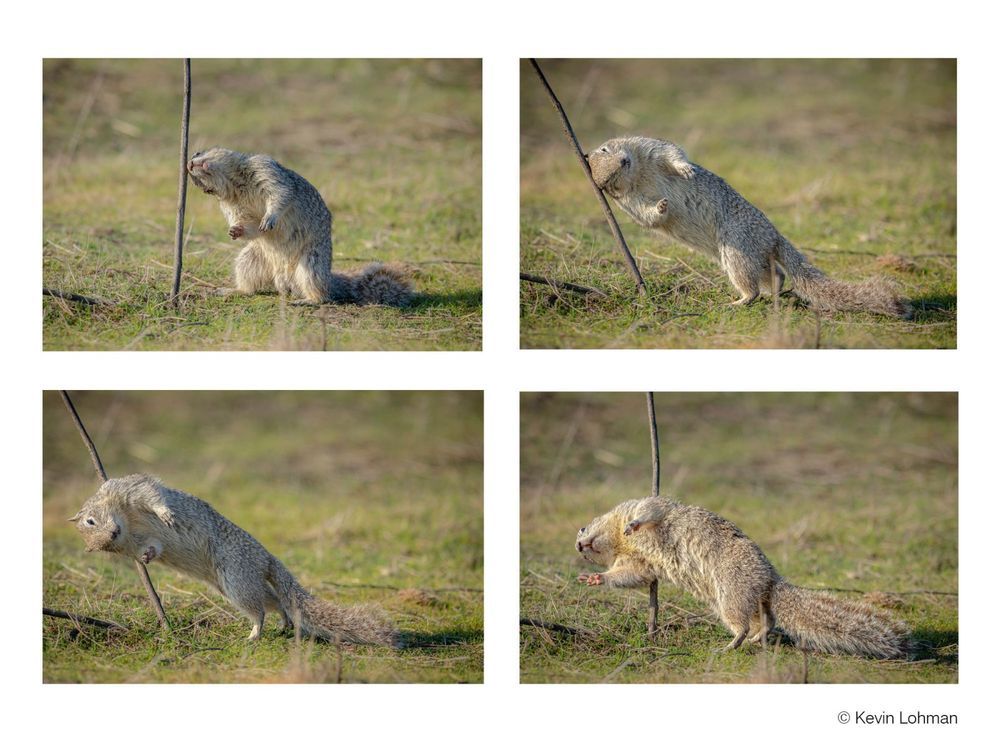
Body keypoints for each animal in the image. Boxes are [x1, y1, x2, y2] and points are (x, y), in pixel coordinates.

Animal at [73, 476, 398, 648]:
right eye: (103, 547)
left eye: (91, 521)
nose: (112, 534)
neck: (129, 523)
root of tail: (266, 558)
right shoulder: (142, 540)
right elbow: (153, 546)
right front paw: (145, 558)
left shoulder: (131, 488)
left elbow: (152, 496)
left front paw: (166, 514)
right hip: (237, 585)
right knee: (273, 602)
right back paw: (282, 622)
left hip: (237, 578)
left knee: (260, 611)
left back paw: (255, 634)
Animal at [189, 147, 412, 306]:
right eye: (204, 189)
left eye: (199, 153)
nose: (189, 164)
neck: (236, 186)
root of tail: (284, 280)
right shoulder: (231, 206)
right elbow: (247, 221)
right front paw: (235, 230)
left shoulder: (263, 167)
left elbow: (280, 192)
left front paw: (269, 218)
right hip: (250, 259)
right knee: (250, 286)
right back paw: (232, 290)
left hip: (312, 262)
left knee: (322, 295)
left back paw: (307, 300)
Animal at [576, 500, 912, 656]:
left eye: (582, 528)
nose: (580, 546)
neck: (622, 544)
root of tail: (770, 580)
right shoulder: (637, 562)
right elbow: (633, 575)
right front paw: (596, 579)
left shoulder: (644, 506)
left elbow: (649, 510)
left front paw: (633, 525)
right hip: (738, 601)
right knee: (765, 621)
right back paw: (753, 638)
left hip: (731, 594)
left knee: (746, 624)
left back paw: (731, 645)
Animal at [584, 135, 916, 318]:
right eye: (609, 180)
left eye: (606, 150)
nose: (624, 162)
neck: (639, 175)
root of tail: (773, 236)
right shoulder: (630, 202)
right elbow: (647, 214)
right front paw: (662, 206)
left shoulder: (647, 147)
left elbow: (670, 151)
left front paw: (685, 170)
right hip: (741, 255)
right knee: (770, 278)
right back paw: (758, 297)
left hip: (738, 248)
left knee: (762, 281)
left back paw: (746, 300)